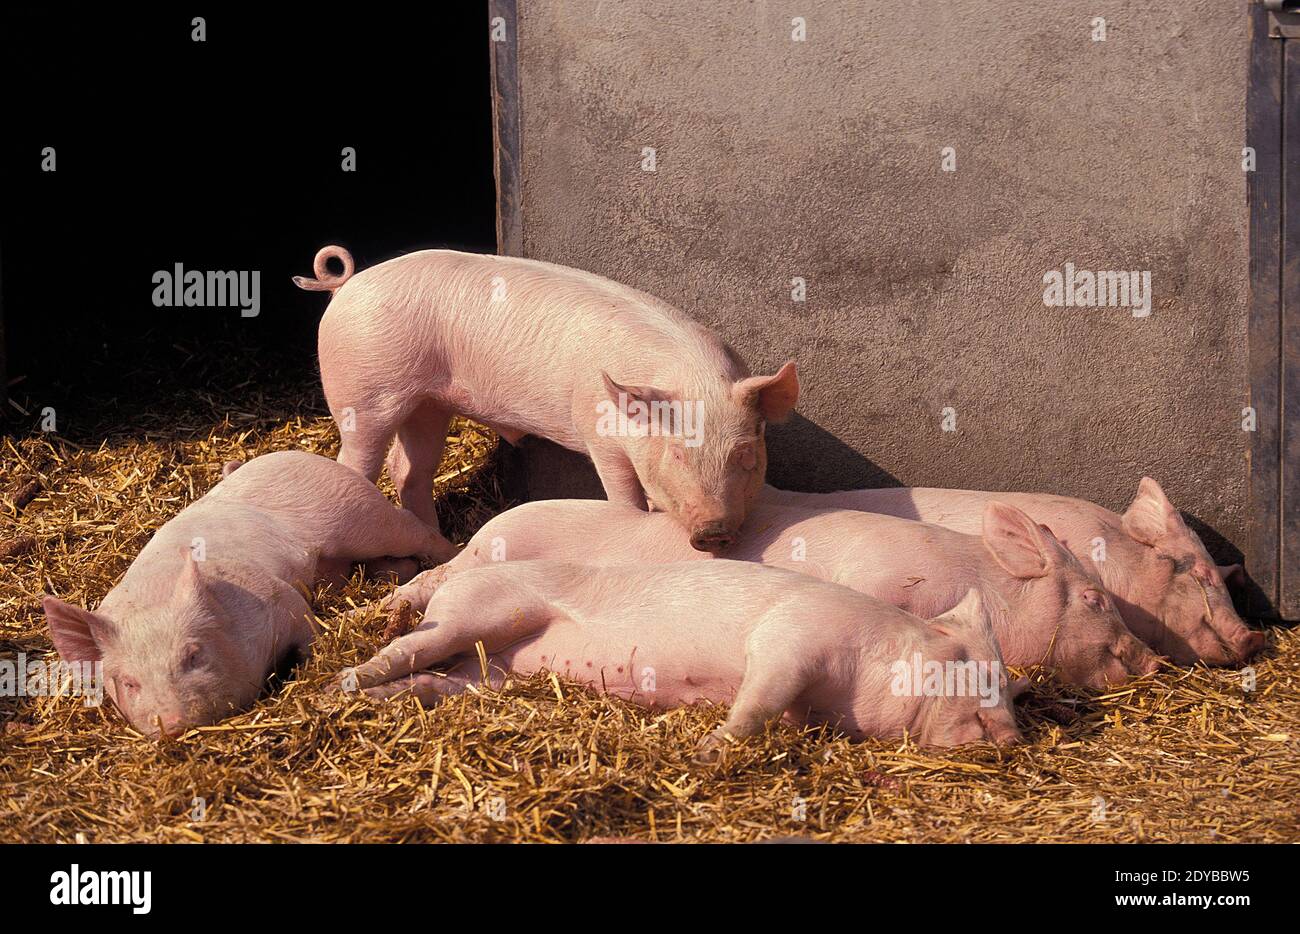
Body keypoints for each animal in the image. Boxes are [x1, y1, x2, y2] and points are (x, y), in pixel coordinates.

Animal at [41, 451, 442, 739]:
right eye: (128, 682)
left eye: (193, 655)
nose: (173, 724)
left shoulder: (279, 597)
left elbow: (309, 630)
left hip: (359, 515)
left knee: (414, 528)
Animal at [296, 245, 799, 555]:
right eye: (677, 454)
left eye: (746, 454)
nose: (713, 533)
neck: (691, 375)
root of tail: (347, 284)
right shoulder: (599, 434)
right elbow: (624, 496)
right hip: (363, 391)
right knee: (355, 462)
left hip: (428, 405)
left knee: (408, 471)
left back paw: (447, 548)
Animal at [342, 559, 1024, 755]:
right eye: (967, 663)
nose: (1014, 734)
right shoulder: (790, 639)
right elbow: (757, 702)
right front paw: (705, 754)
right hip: (480, 609)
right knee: (407, 643)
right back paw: (343, 685)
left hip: (488, 676)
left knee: (437, 682)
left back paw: (371, 696)